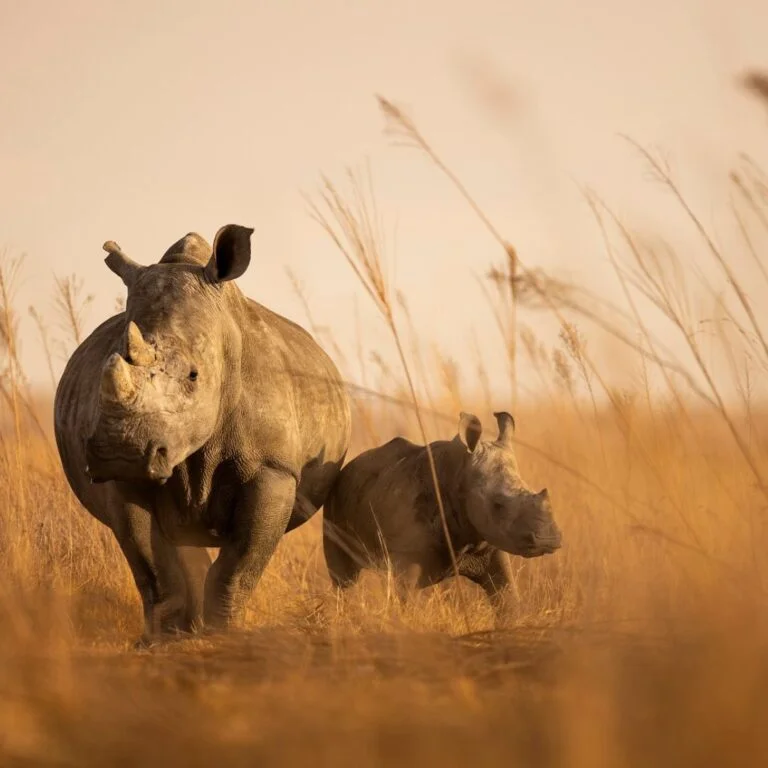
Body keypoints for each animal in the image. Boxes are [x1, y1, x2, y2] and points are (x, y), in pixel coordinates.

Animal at [54, 225, 351, 644]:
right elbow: (152, 564)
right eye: (104, 371)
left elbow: (241, 563)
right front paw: (162, 639)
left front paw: (220, 632)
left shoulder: (274, 468)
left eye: (194, 376)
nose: (121, 453)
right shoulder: (125, 480)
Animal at [322, 411, 562, 610]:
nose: (548, 539)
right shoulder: (406, 555)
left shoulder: (490, 547)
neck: (459, 472)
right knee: (344, 580)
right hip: (333, 501)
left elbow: (507, 598)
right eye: (498, 505)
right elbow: (406, 603)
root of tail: (348, 466)